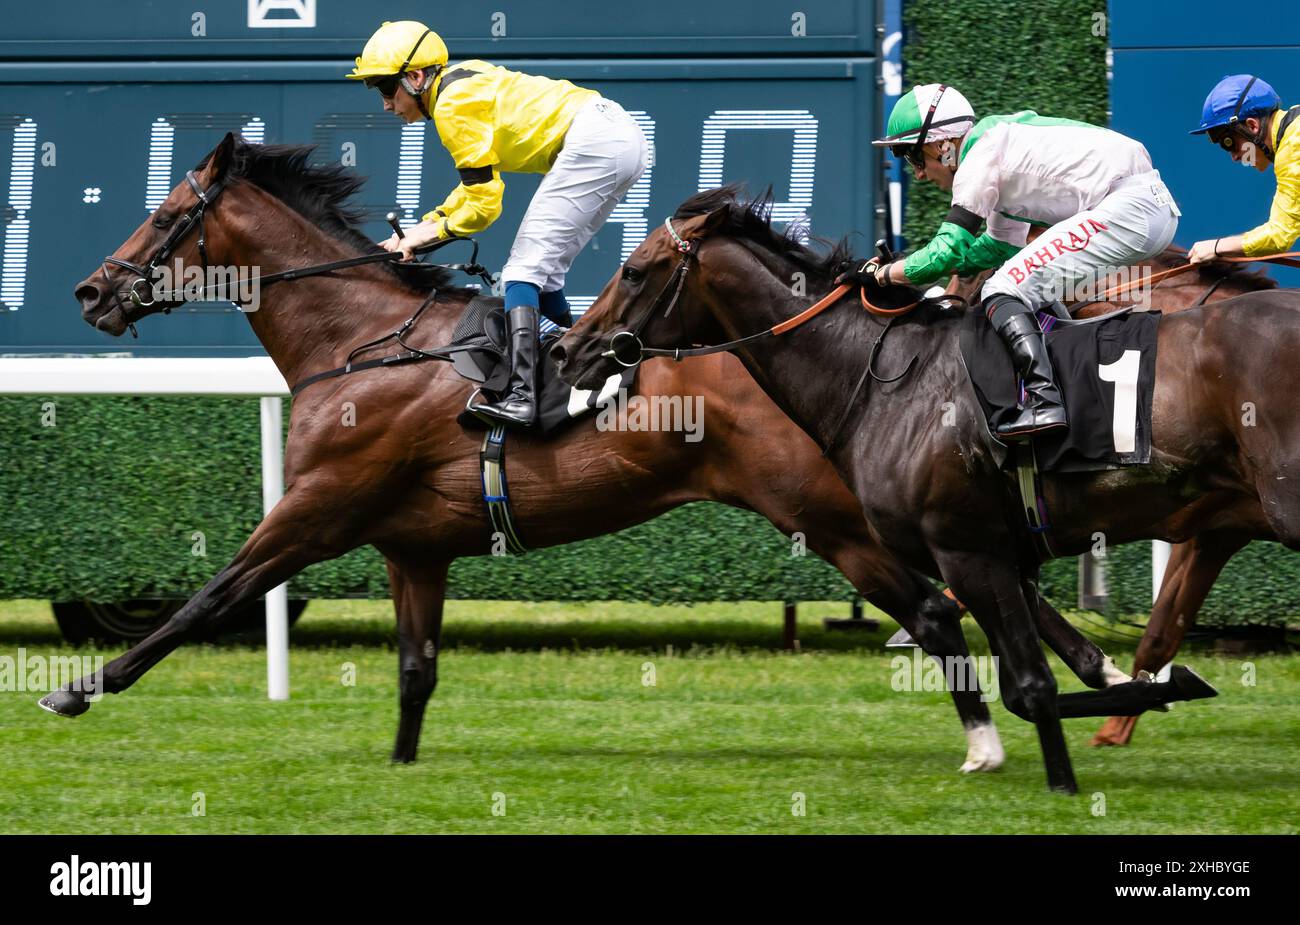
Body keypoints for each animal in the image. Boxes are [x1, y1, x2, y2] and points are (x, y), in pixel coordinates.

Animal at [551, 189, 1300, 795]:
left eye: (634, 269)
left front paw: (1064, 782)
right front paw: (1155, 688)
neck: (883, 378)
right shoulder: (996, 553)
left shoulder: (966, 550)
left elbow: (1032, 685)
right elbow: (1046, 672)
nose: (566, 350)